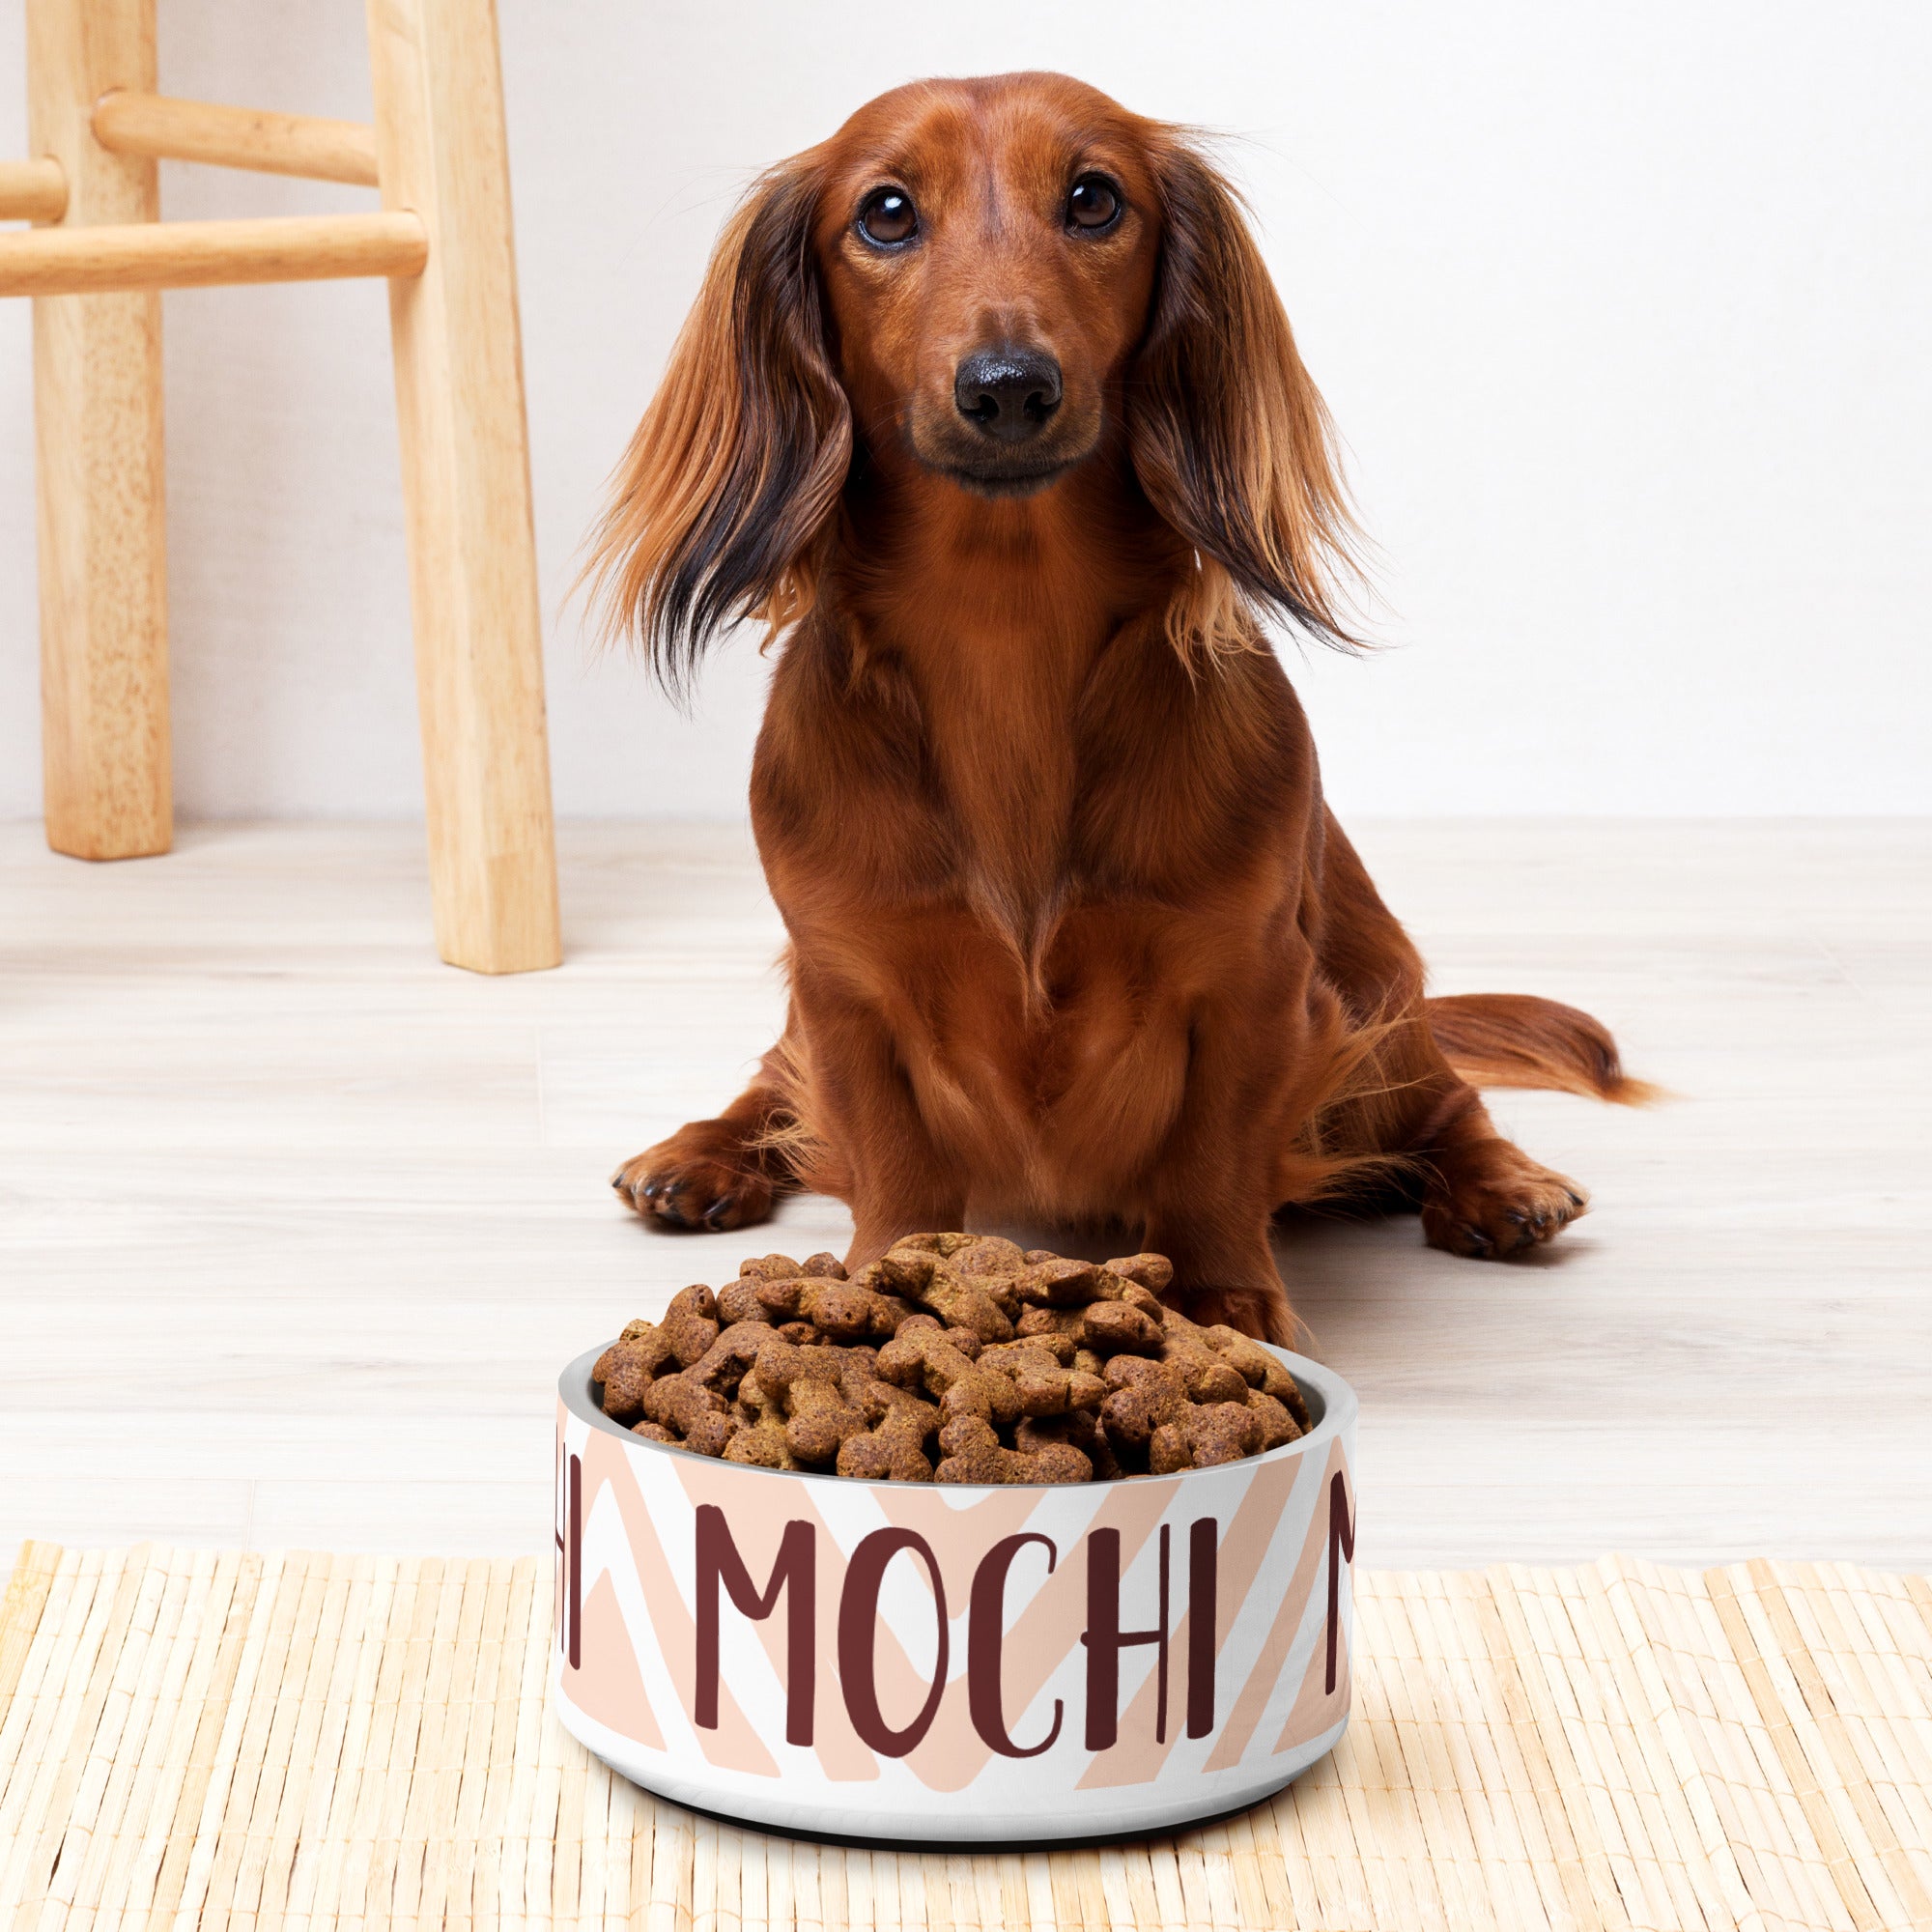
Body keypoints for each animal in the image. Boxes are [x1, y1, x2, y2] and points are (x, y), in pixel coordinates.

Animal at [591, 75, 1646, 1345]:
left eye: (1093, 198)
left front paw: (1227, 1298)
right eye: (884, 212)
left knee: (1445, 1101)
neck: (1005, 633)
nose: (1007, 387)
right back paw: (698, 1154)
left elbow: (1211, 1160)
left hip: (1375, 998)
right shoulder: (845, 983)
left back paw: (1501, 1184)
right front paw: (884, 1283)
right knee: (770, 1084)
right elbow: (888, 1156)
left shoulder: (1251, 980)